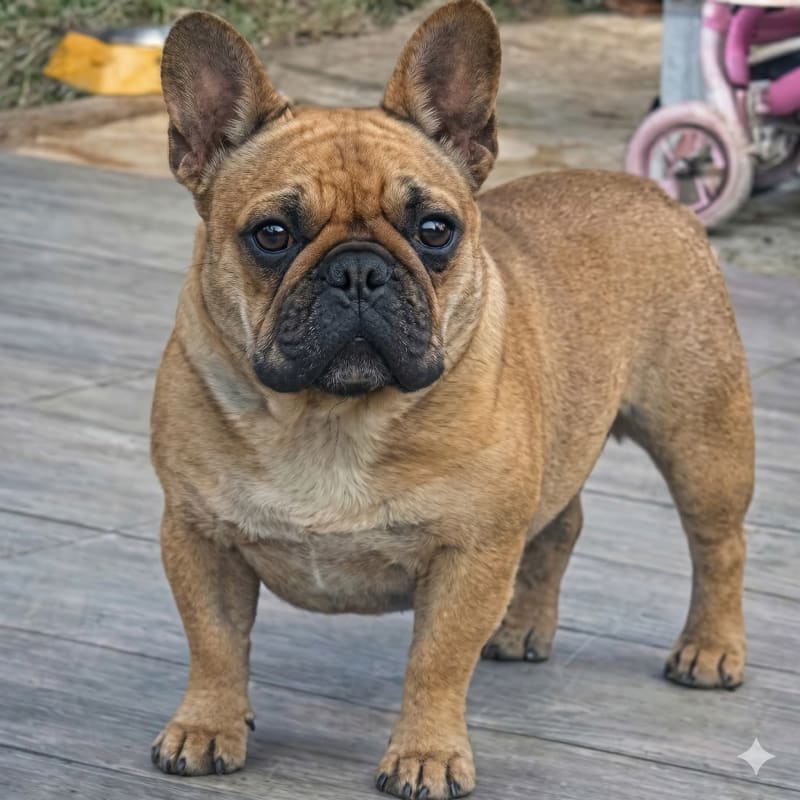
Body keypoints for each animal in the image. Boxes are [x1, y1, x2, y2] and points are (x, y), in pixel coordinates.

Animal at [149, 2, 755, 797]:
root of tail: (653, 193)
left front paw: (427, 755)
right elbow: (214, 643)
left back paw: (710, 650)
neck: (330, 416)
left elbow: (435, 664)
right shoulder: (198, 535)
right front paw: (206, 726)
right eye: (272, 235)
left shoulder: (471, 551)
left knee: (718, 544)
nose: (358, 272)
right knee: (561, 523)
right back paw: (524, 627)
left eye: (435, 230)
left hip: (702, 439)